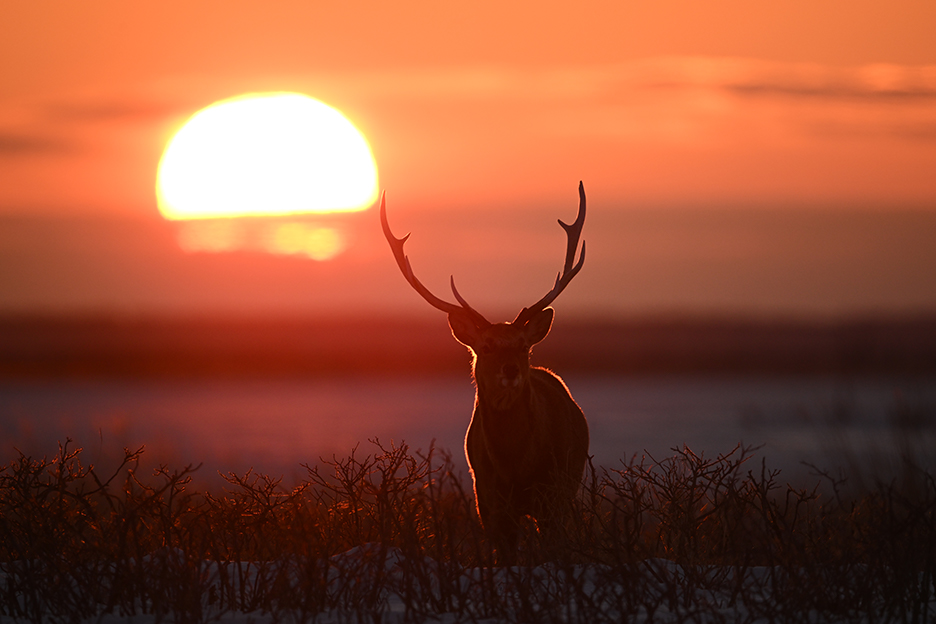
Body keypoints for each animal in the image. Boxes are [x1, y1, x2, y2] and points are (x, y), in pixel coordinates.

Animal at [378, 183, 584, 560]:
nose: (511, 369)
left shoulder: (553, 491)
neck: (515, 465)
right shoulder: (486, 497)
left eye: (523, 345)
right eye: (486, 345)